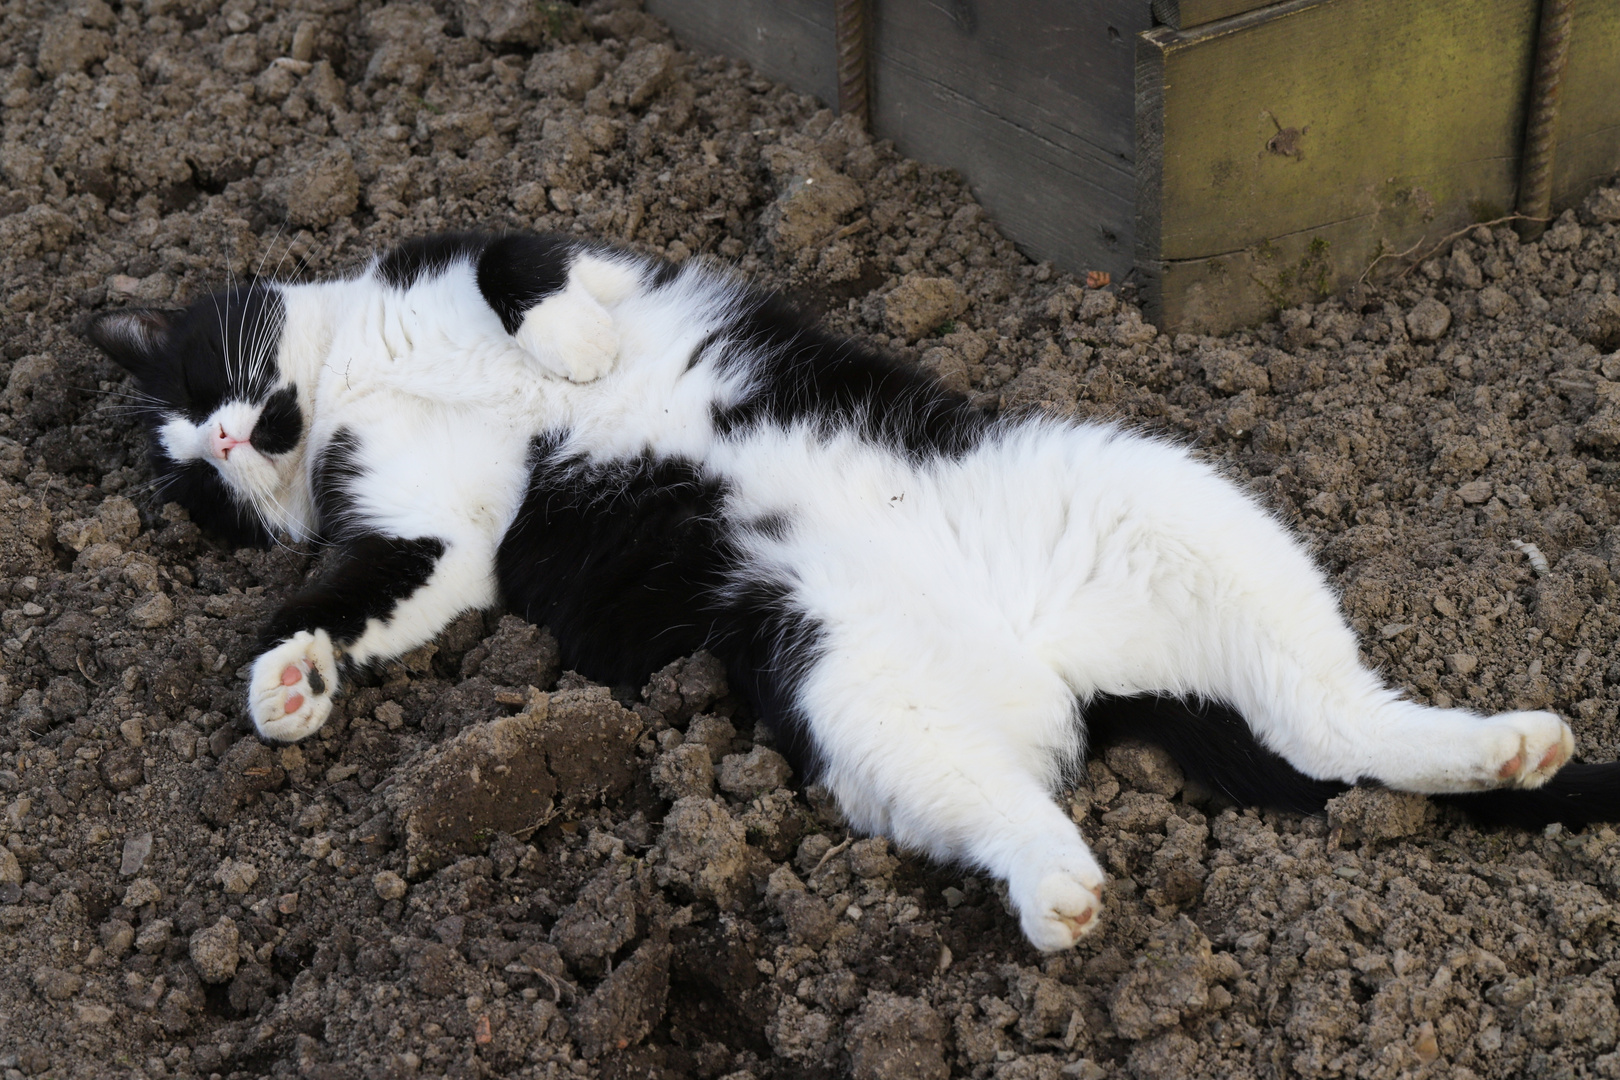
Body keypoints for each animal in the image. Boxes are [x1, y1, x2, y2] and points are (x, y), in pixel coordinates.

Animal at [88, 233, 1620, 952]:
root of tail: (1058, 673)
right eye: (203, 489)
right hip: (857, 694)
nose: (225, 444)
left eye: (211, 382)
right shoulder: (438, 535)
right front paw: (287, 680)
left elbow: (525, 273)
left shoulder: (533, 252)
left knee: (1335, 719)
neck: (363, 384)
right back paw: (1066, 894)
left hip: (1169, 505)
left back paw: (1507, 742)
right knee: (1047, 804)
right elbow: (367, 589)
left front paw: (575, 353)